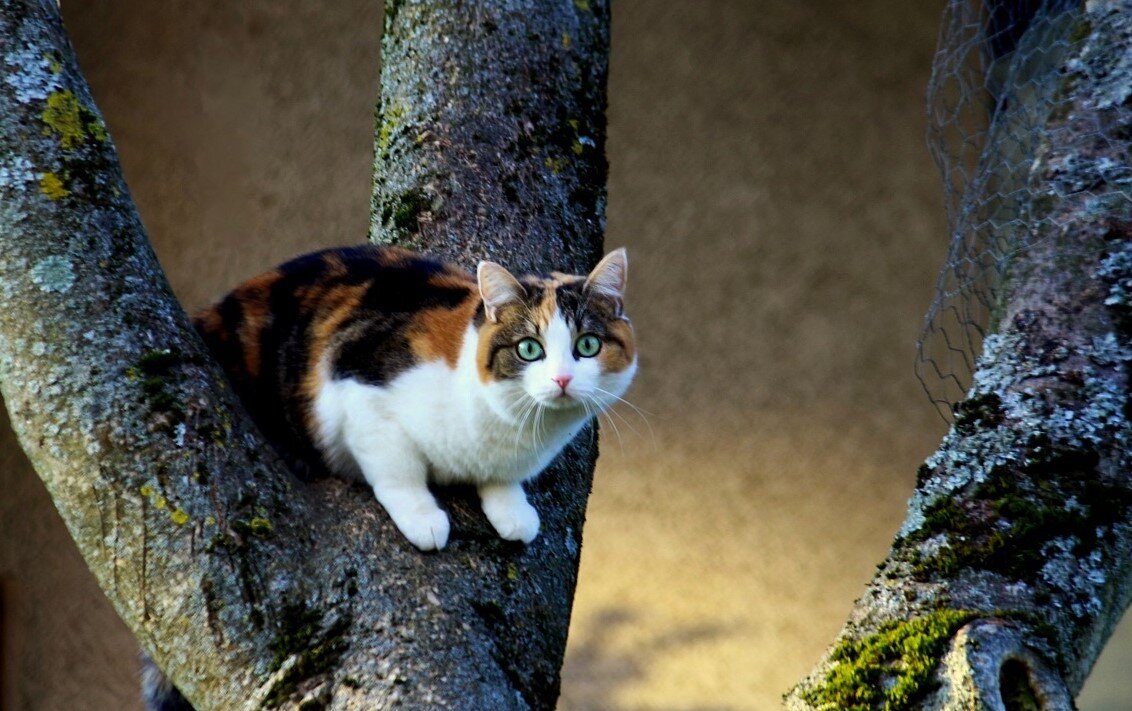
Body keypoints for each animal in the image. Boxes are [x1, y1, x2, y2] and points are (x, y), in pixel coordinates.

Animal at [194, 244, 638, 550]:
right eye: (529, 348)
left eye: (588, 345)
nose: (562, 379)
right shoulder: (357, 382)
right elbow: (397, 468)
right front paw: (423, 518)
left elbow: (502, 479)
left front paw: (512, 509)